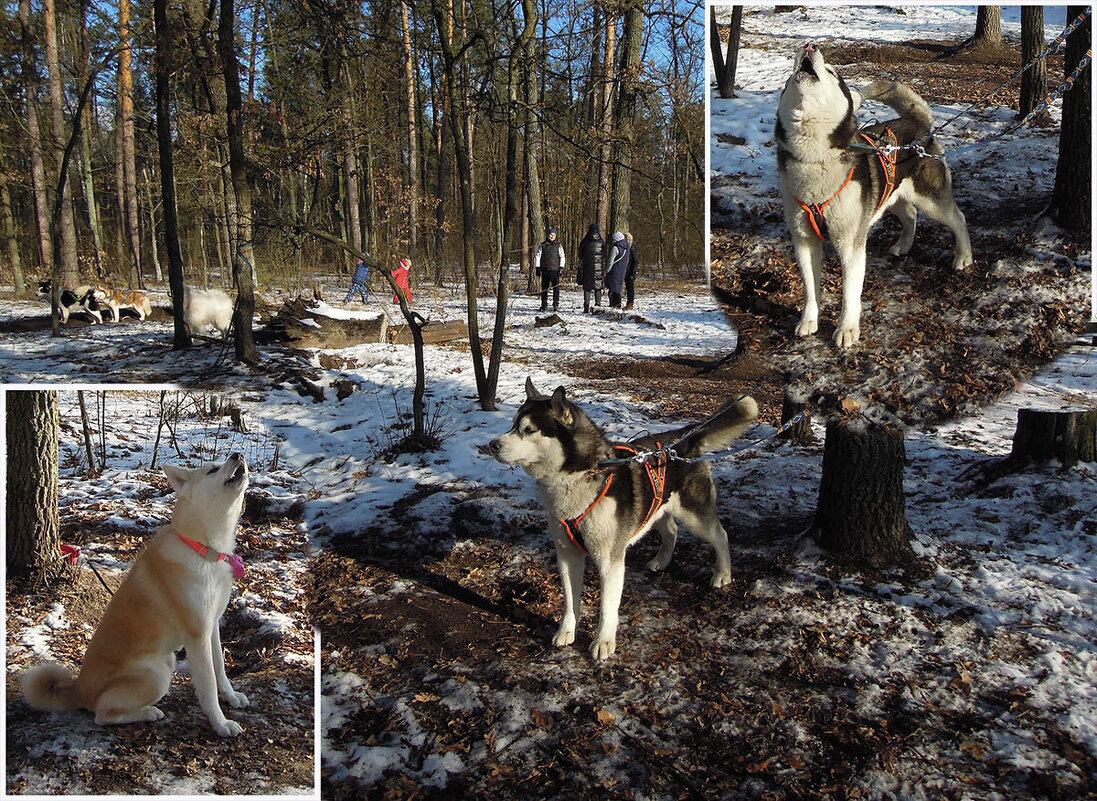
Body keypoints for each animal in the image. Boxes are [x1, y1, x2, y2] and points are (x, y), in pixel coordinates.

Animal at [21, 452, 251, 732]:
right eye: (213, 470)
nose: (238, 454)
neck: (202, 549)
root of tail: (78, 689)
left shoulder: (211, 627)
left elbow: (220, 670)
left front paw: (231, 696)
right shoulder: (197, 636)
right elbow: (207, 687)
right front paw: (221, 723)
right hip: (158, 672)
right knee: (102, 715)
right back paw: (148, 712)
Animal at [493, 379, 759, 662]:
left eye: (529, 429)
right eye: (513, 424)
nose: (492, 444)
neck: (579, 477)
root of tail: (683, 441)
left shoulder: (609, 559)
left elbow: (607, 606)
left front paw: (603, 641)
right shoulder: (566, 553)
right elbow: (570, 599)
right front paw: (566, 630)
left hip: (695, 515)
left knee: (720, 535)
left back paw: (722, 574)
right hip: (656, 508)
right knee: (671, 531)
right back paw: (661, 560)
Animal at [776, 42, 974, 344]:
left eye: (832, 71)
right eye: (790, 76)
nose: (810, 45)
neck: (814, 159)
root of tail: (917, 122)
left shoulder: (850, 243)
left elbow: (850, 292)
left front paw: (847, 328)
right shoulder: (803, 239)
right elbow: (811, 287)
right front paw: (809, 320)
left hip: (930, 199)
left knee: (958, 218)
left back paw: (963, 256)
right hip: (890, 195)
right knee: (910, 215)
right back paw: (904, 245)